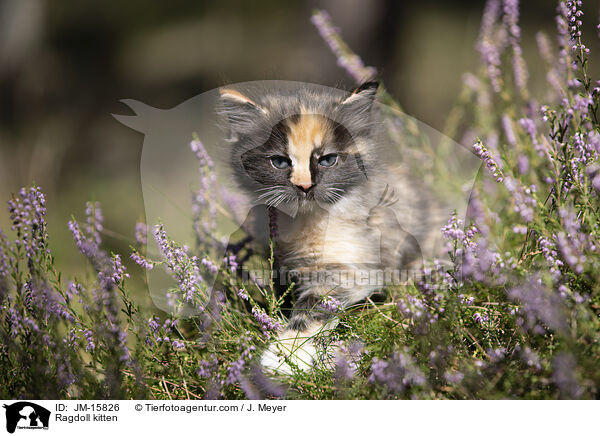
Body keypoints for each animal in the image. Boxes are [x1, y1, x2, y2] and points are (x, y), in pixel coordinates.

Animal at [218, 82, 442, 374]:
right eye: (279, 162)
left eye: (327, 160)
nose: (304, 186)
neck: (303, 222)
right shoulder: (280, 258)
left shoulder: (351, 266)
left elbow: (312, 307)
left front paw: (285, 355)